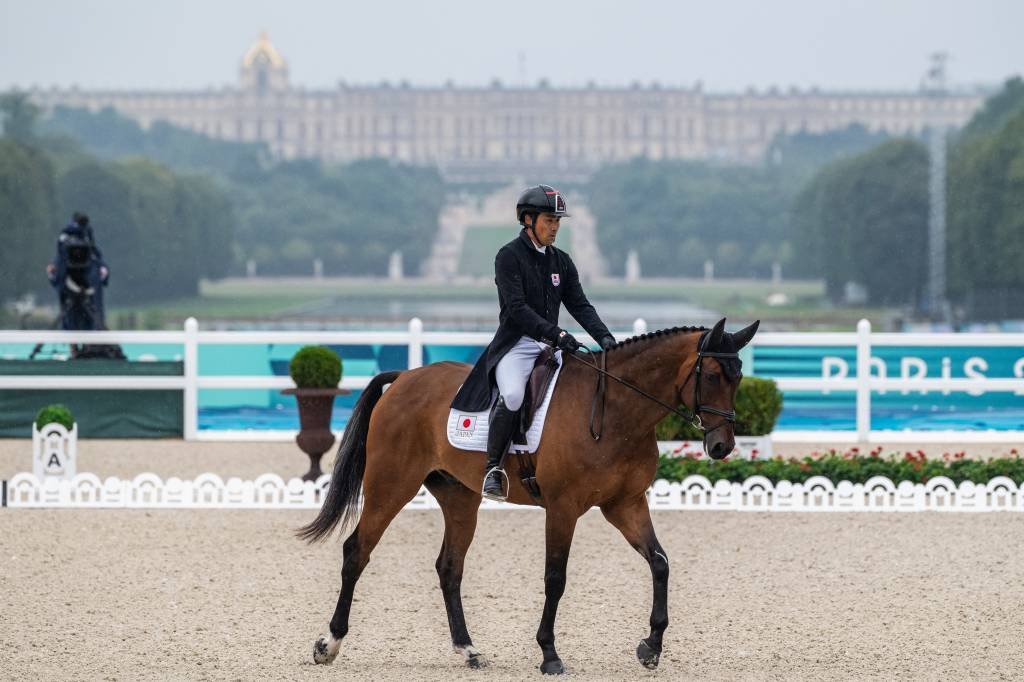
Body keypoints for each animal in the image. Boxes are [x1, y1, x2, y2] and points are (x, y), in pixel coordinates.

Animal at [299, 315, 761, 671]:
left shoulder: (624, 504)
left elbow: (660, 563)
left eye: (738, 377)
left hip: (459, 497)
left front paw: (651, 647)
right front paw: (549, 655)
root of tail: (405, 378)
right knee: (357, 551)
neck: (616, 411)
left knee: (449, 567)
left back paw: (469, 650)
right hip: (390, 484)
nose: (722, 446)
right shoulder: (563, 508)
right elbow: (555, 578)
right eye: (713, 375)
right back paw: (328, 645)